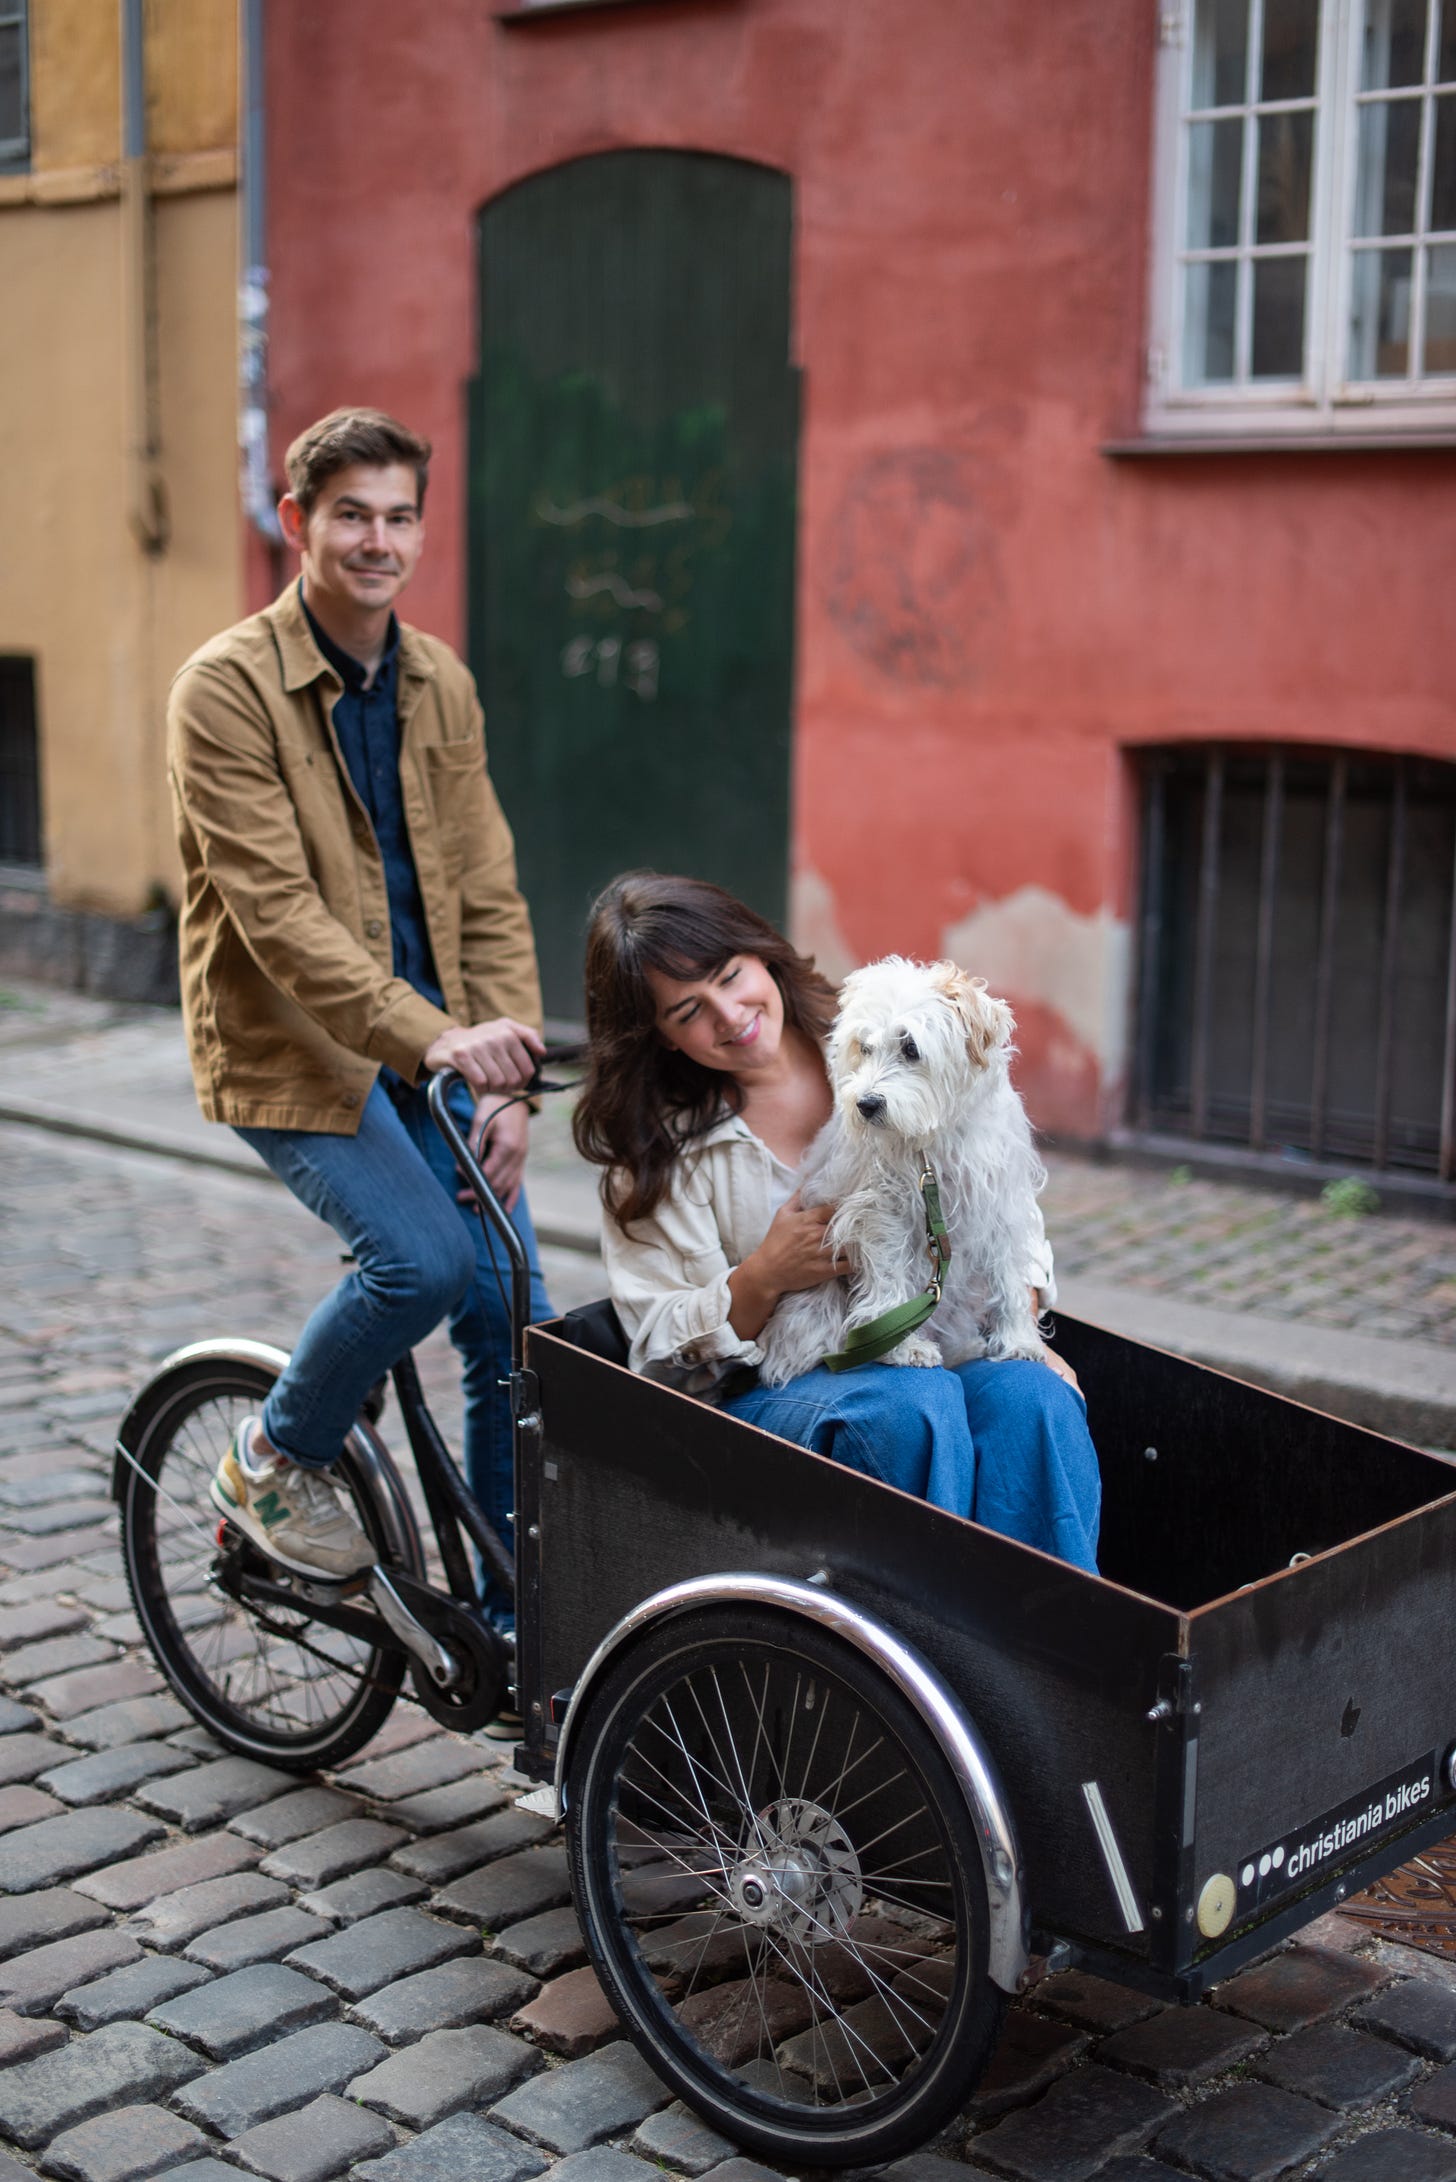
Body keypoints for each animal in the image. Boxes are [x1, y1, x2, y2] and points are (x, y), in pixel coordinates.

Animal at [759, 964, 1052, 1387]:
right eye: (864, 1047)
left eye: (911, 1048)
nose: (866, 1104)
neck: (934, 1139)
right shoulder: (883, 1213)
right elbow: (889, 1279)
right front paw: (902, 1347)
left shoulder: (1001, 1206)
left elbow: (1010, 1279)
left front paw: (1018, 1340)